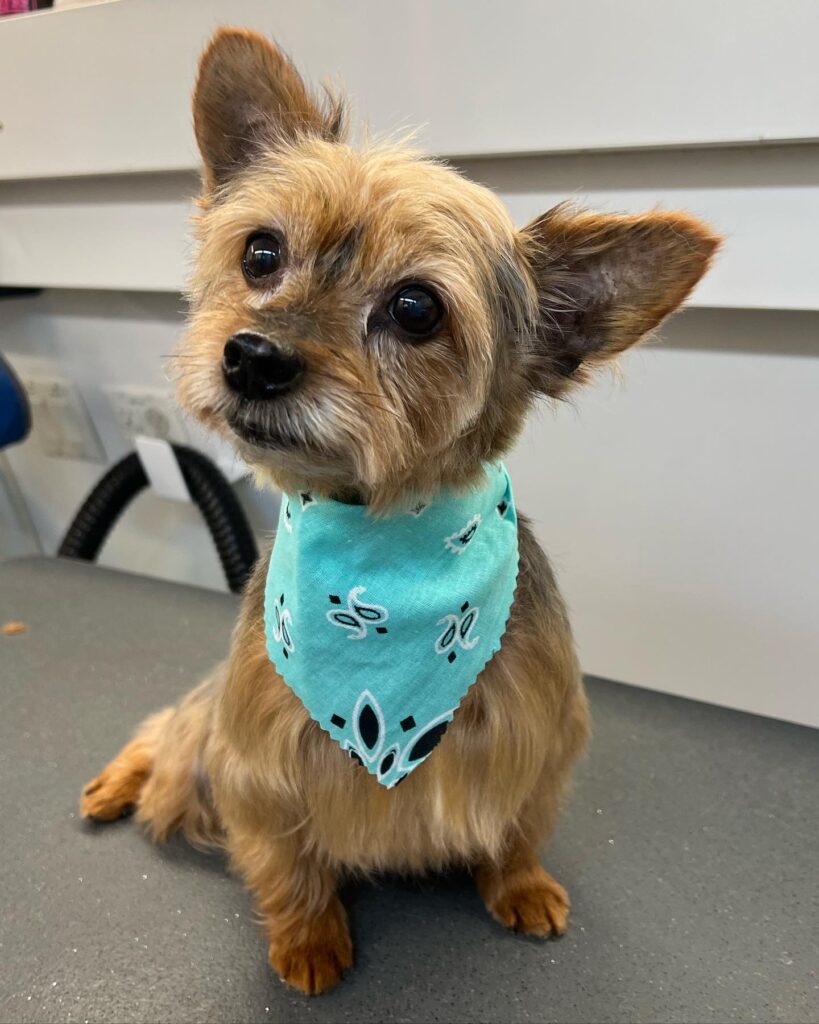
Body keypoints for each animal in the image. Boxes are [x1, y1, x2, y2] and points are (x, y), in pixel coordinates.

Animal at [79, 29, 720, 991]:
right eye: (260, 253)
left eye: (416, 308)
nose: (253, 357)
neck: (383, 543)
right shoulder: (256, 759)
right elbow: (285, 856)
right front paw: (308, 940)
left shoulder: (536, 741)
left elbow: (518, 829)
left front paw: (520, 885)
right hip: (205, 723)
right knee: (169, 729)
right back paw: (116, 783)